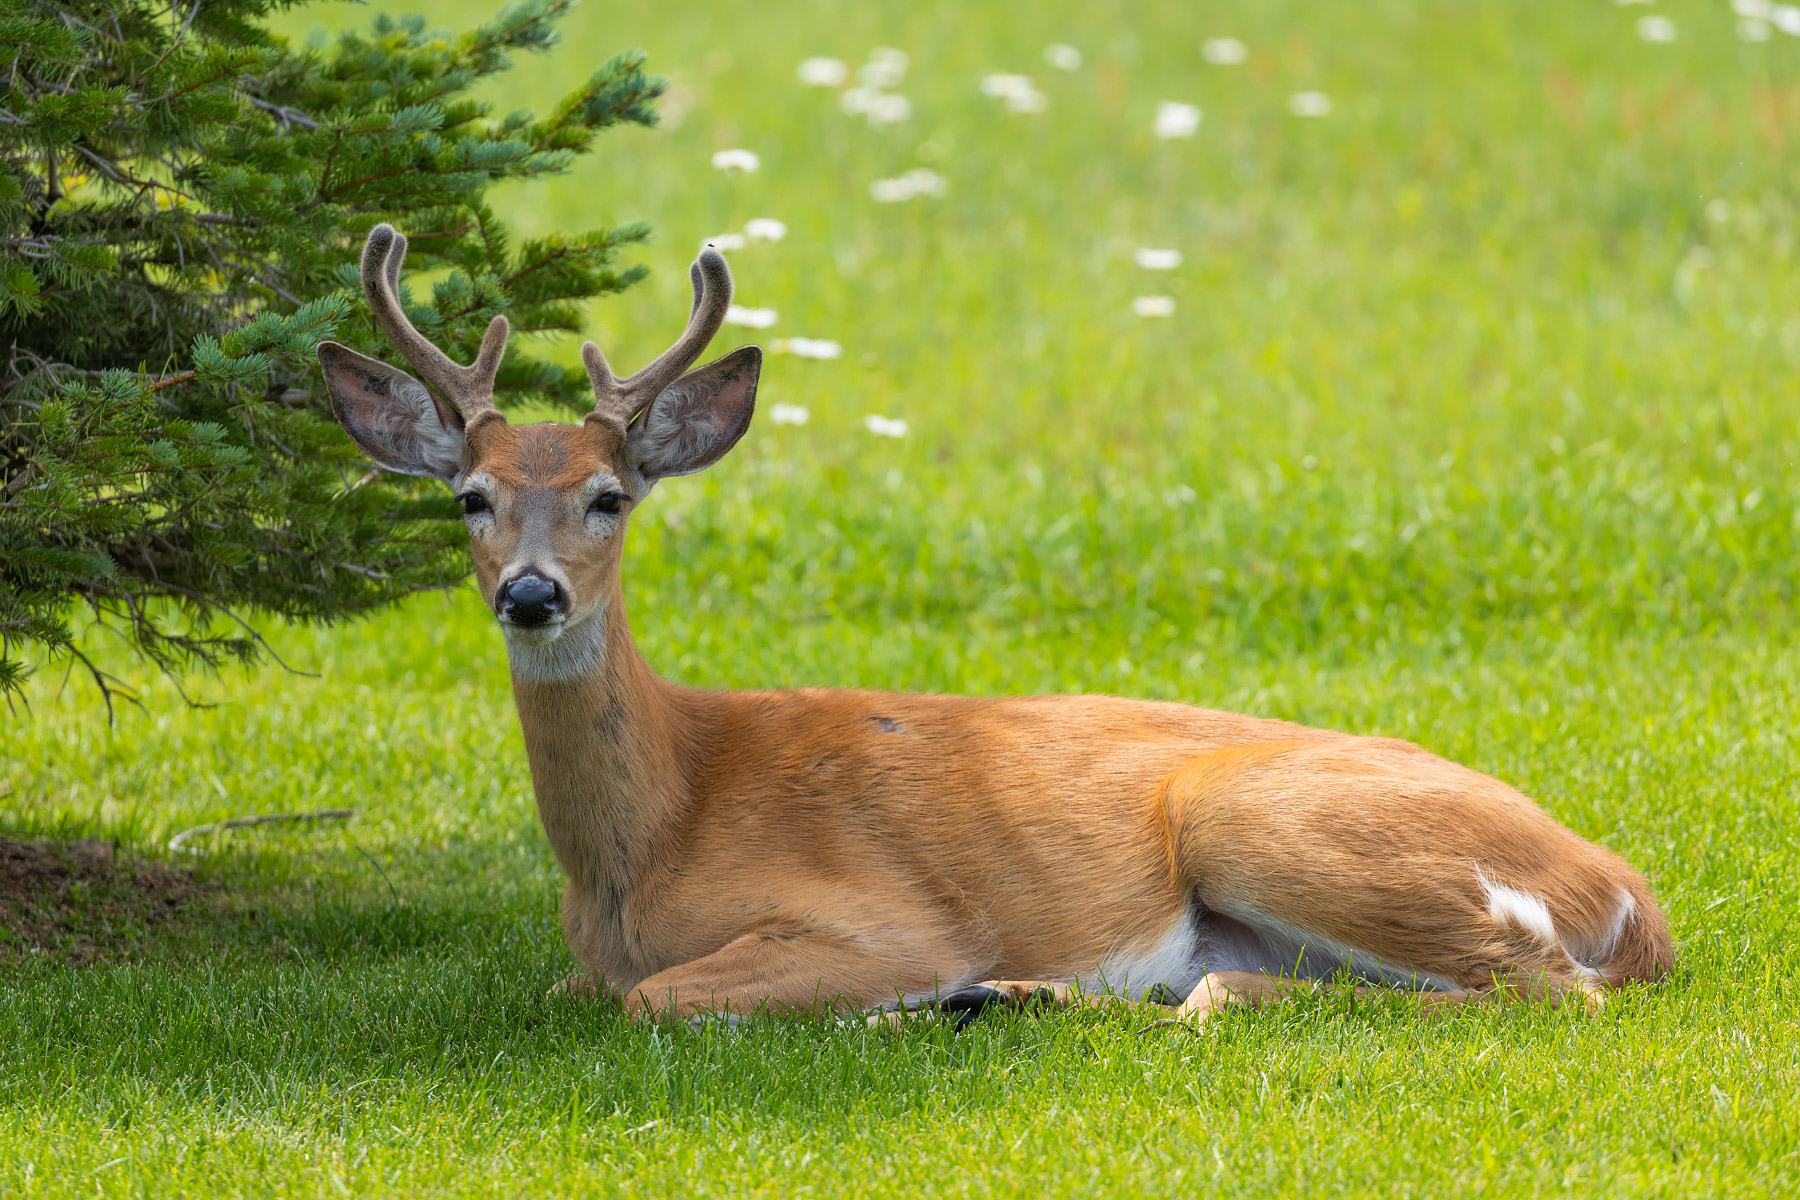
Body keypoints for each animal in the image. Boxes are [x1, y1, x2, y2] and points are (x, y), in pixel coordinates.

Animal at [317, 224, 1674, 1030]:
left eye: (610, 497)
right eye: (471, 498)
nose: (530, 593)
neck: (642, 843)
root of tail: (1626, 894)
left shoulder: (878, 919)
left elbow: (655, 999)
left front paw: (910, 999)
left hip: (1258, 817)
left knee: (1544, 987)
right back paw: (1029, 994)